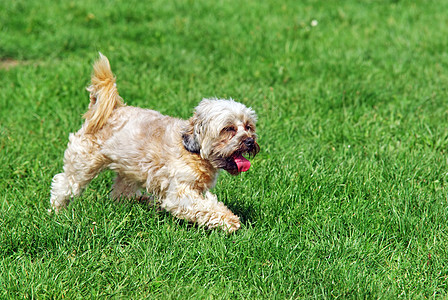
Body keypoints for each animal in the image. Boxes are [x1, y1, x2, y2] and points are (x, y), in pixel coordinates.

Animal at [50, 53, 260, 232]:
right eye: (229, 129)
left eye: (248, 126)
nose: (250, 141)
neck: (193, 152)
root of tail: (108, 110)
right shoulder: (179, 193)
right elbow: (204, 207)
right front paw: (230, 220)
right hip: (83, 163)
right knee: (64, 184)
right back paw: (56, 211)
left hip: (129, 171)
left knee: (120, 195)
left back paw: (145, 201)